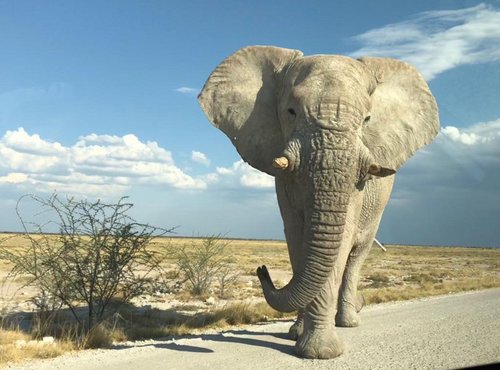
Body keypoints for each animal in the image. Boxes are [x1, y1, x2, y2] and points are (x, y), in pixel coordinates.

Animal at [197, 45, 440, 358]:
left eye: (367, 120)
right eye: (291, 112)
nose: (261, 270)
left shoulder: (357, 184)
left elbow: (340, 240)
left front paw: (320, 352)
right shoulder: (284, 177)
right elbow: (296, 237)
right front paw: (298, 336)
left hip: (378, 209)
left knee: (356, 256)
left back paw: (348, 322)